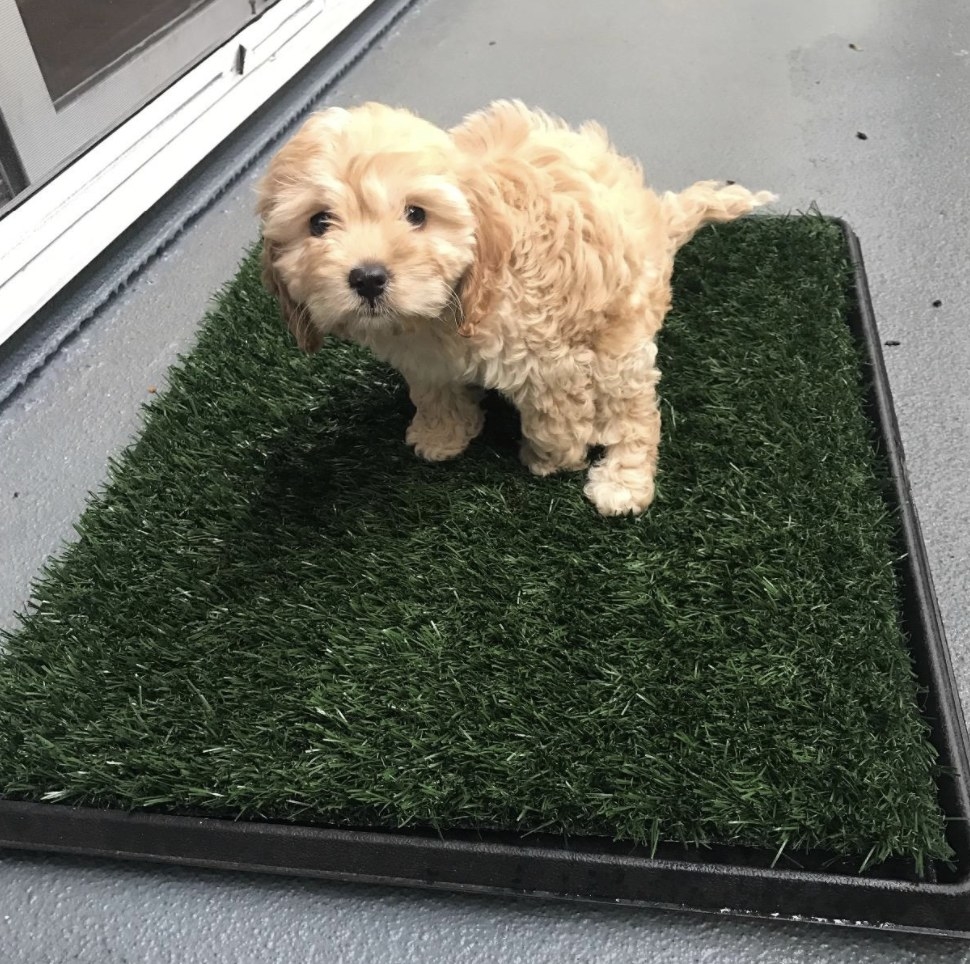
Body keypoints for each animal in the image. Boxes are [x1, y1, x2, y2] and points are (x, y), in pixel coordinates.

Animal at [255, 101, 772, 516]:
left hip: (620, 342)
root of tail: (658, 228)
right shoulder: (425, 361)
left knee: (635, 416)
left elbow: (556, 419)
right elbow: (435, 392)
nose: (367, 278)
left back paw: (621, 483)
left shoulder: (550, 360)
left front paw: (550, 461)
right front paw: (441, 434)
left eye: (416, 214)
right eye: (319, 222)